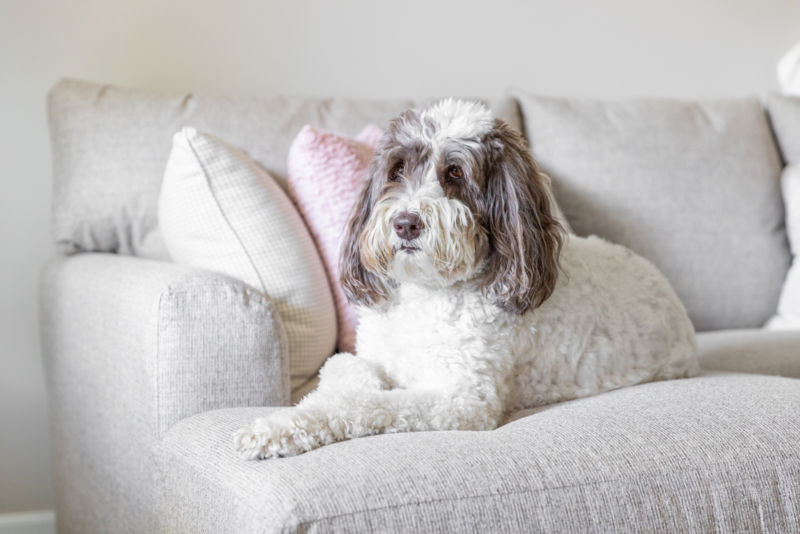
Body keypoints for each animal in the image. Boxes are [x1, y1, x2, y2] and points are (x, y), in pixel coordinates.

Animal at [234, 97, 696, 460]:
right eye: (397, 170)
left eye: (455, 173)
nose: (405, 223)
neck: (428, 294)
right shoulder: (368, 357)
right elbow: (343, 370)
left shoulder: (462, 399)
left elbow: (362, 406)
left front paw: (272, 429)